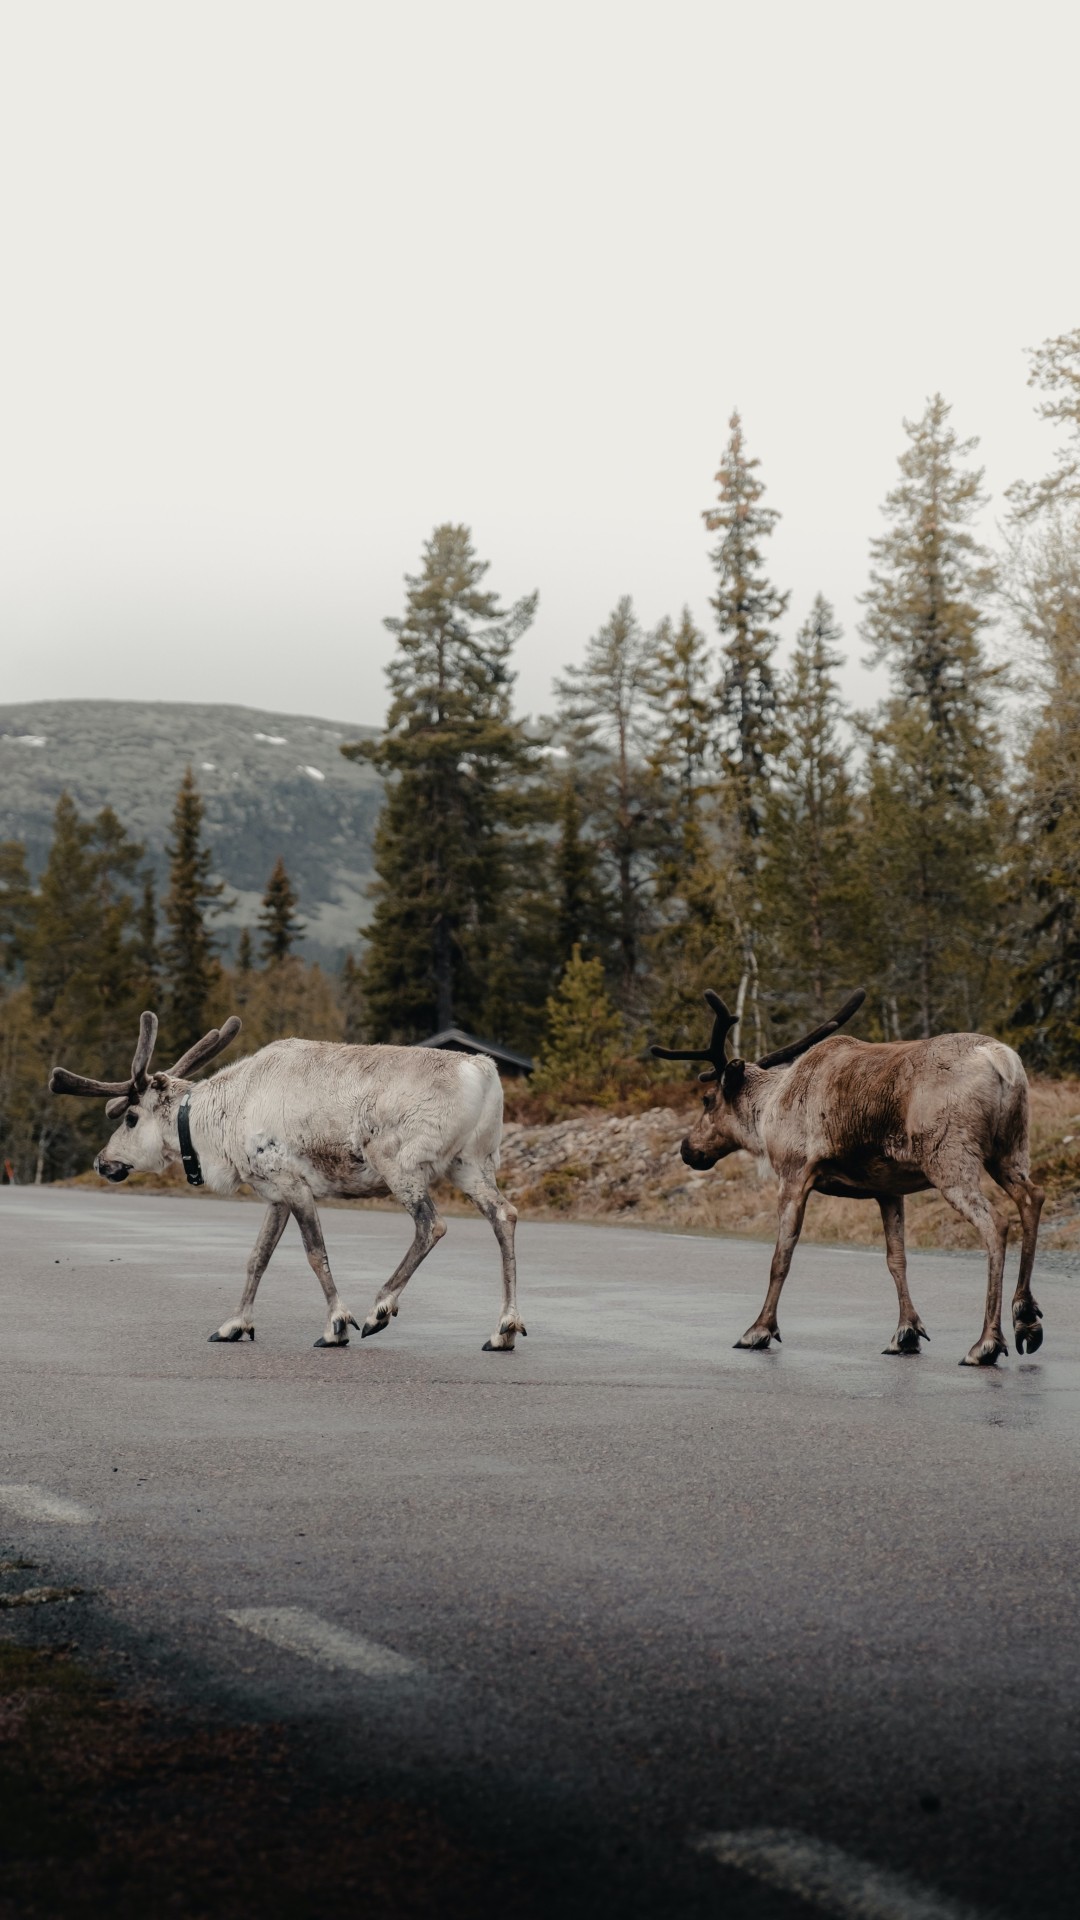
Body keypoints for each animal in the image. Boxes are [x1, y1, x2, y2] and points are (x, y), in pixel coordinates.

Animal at [49, 1012, 526, 1352]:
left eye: (130, 1117)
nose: (102, 1161)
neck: (219, 1121)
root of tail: (484, 1073)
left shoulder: (292, 1182)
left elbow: (316, 1254)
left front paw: (337, 1325)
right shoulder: (273, 1194)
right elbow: (257, 1258)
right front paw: (234, 1325)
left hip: (401, 1164)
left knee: (432, 1224)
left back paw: (380, 1309)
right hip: (471, 1163)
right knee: (505, 1215)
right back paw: (504, 1329)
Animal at [652, 989, 1045, 1367]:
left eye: (707, 1099)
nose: (688, 1149)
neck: (768, 1112)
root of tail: (1003, 1061)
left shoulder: (794, 1173)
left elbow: (781, 1257)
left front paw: (759, 1330)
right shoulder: (889, 1189)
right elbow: (896, 1259)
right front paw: (906, 1332)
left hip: (949, 1157)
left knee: (996, 1223)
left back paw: (986, 1343)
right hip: (1009, 1150)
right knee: (1032, 1197)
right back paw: (1026, 1318)